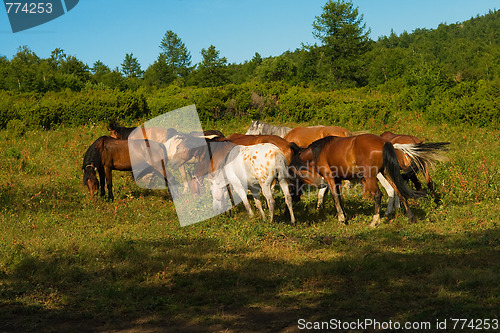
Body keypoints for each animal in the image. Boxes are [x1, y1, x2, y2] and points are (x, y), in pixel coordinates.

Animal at [290, 133, 426, 226]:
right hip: (387, 173)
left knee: (378, 195)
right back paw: (410, 217)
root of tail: (384, 143)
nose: (295, 198)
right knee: (399, 191)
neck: (319, 152)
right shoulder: (338, 179)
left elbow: (335, 197)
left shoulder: (329, 178)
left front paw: (341, 219)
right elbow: (339, 197)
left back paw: (375, 221)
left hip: (370, 176)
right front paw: (344, 217)